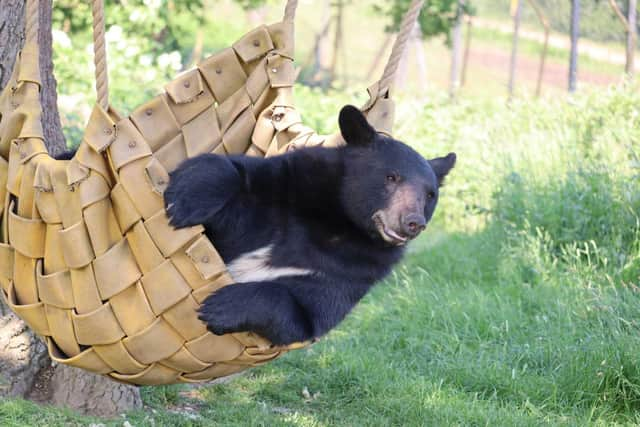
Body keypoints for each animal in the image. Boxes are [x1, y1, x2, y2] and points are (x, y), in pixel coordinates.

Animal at [165, 104, 456, 348]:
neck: (340, 221)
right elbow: (232, 172)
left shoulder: (352, 271)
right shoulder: (285, 190)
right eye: (391, 177)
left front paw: (220, 307)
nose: (413, 222)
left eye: (430, 195)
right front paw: (184, 204)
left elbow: (306, 313)